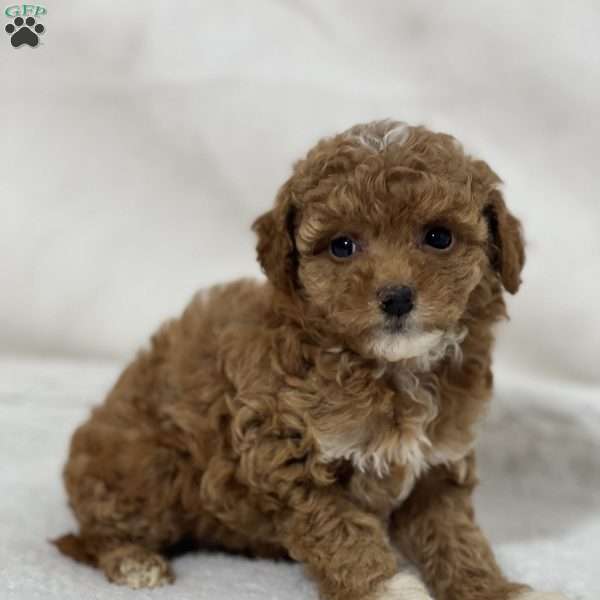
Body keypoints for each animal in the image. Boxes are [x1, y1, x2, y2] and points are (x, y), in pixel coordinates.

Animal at [54, 120, 564, 600]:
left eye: (439, 237)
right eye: (342, 246)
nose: (397, 297)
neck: (390, 370)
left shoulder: (438, 466)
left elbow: (456, 538)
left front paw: (495, 590)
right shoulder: (285, 459)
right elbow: (339, 532)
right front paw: (382, 588)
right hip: (148, 471)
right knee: (91, 535)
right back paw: (133, 561)